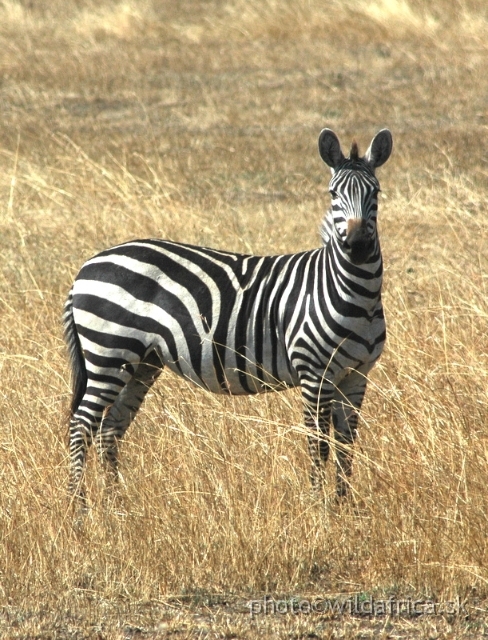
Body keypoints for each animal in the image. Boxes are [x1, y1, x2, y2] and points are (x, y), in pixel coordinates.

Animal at [63, 127, 392, 504]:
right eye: (333, 193)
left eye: (375, 192)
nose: (357, 245)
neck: (355, 296)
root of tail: (87, 265)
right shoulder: (315, 373)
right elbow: (318, 443)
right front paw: (318, 507)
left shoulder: (356, 375)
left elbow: (346, 445)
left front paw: (343, 507)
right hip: (109, 351)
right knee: (81, 425)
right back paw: (79, 509)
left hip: (142, 361)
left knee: (109, 427)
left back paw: (117, 505)